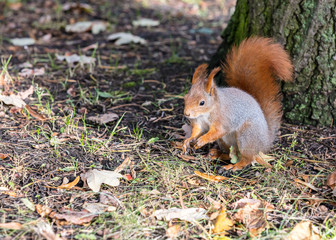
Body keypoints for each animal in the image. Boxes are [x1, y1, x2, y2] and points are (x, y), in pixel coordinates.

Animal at [181, 36, 294, 171]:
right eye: (185, 97)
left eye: (202, 102)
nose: (187, 114)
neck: (207, 112)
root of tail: (265, 141)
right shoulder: (199, 122)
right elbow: (197, 130)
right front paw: (188, 140)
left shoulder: (223, 120)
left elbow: (217, 131)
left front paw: (203, 140)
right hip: (224, 141)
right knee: (232, 153)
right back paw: (217, 154)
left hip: (246, 136)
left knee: (248, 158)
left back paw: (234, 166)